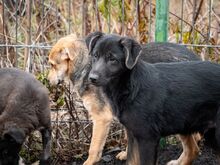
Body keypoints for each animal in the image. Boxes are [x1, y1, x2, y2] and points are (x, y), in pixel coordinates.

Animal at [47, 33, 201, 165]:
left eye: (52, 65)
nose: (47, 81)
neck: (84, 66)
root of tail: (197, 58)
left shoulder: (102, 118)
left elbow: (94, 148)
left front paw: (89, 162)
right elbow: (130, 140)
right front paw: (127, 154)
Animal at [85, 31, 220, 164]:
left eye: (112, 59)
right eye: (95, 56)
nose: (92, 78)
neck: (131, 87)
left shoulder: (148, 138)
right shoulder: (133, 134)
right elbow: (131, 161)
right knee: (193, 150)